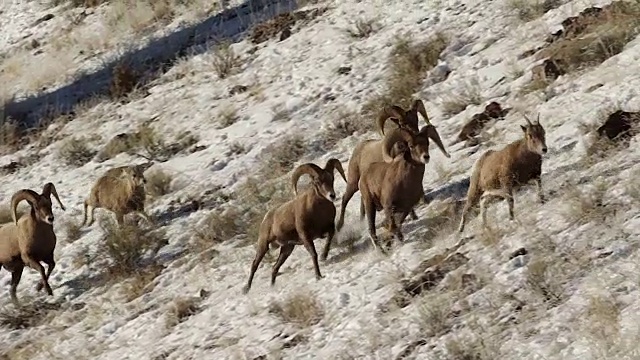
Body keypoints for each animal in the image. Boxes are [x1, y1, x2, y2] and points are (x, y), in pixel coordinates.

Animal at [244, 159, 344, 294]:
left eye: (331, 178)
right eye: (317, 181)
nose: (331, 195)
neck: (318, 211)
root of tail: (266, 217)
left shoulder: (329, 228)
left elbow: (329, 240)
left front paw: (324, 256)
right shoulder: (306, 237)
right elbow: (313, 254)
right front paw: (318, 276)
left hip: (287, 249)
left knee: (275, 267)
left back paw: (272, 287)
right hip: (263, 245)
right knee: (254, 265)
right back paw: (246, 289)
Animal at [336, 100, 450, 232]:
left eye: (416, 119)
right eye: (403, 123)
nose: (416, 134)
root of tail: (358, 148)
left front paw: (415, 215)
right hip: (353, 183)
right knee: (345, 199)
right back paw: (339, 226)